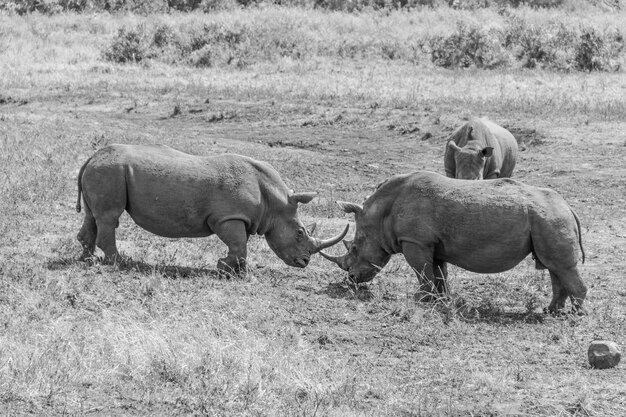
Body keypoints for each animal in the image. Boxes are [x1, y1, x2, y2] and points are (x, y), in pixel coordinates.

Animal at [76, 143, 348, 272]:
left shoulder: (237, 218)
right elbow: (239, 244)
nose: (304, 262)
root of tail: (91, 157)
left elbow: (241, 247)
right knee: (109, 218)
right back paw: (120, 263)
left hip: (105, 171)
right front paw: (224, 268)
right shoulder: (229, 217)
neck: (275, 201)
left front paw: (241, 272)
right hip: (110, 171)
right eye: (300, 233)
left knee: (93, 216)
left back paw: (88, 260)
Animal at [322, 170, 584, 312]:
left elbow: (422, 271)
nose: (352, 280)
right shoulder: (432, 244)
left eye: (354, 247)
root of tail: (568, 207)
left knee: (560, 266)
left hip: (549, 219)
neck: (380, 214)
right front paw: (442, 299)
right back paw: (551, 311)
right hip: (547, 219)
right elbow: (439, 272)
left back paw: (574, 315)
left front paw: (421, 300)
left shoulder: (414, 241)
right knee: (553, 267)